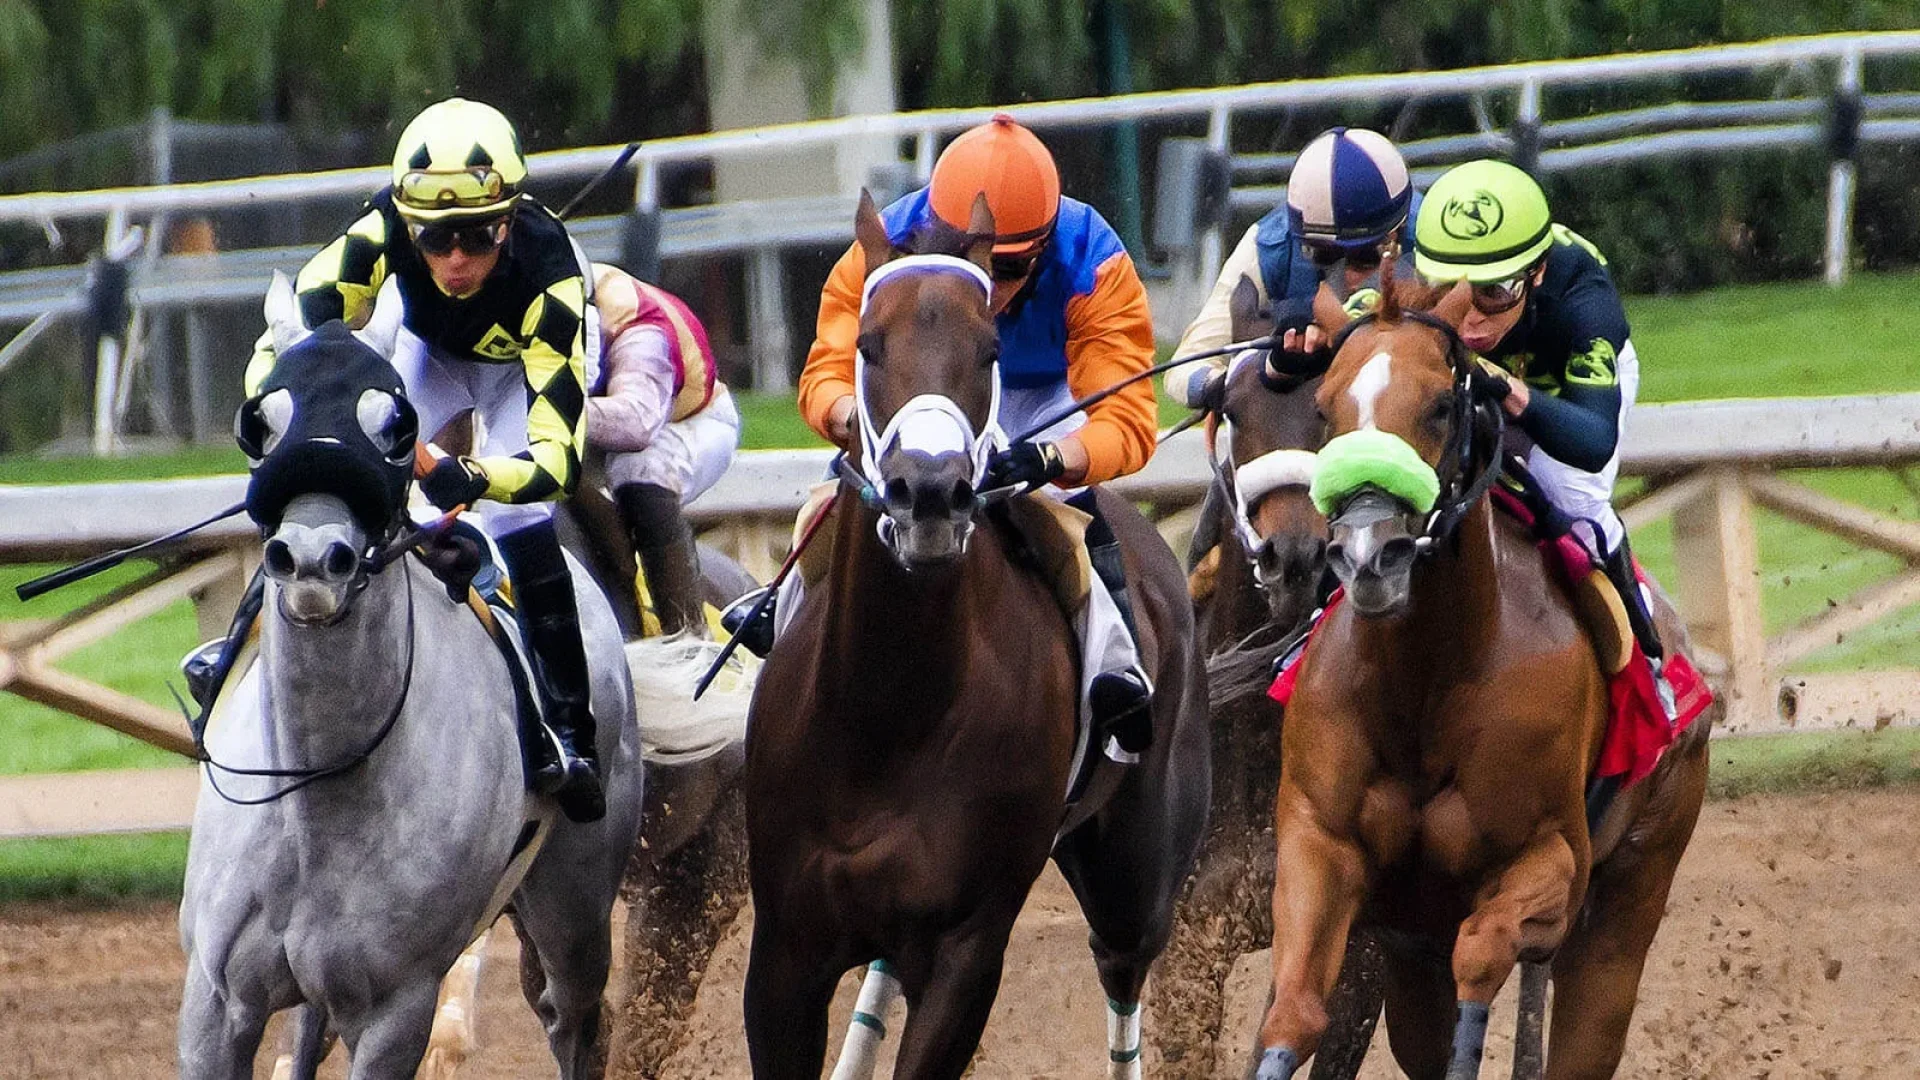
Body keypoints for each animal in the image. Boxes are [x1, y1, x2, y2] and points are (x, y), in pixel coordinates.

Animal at [181, 278, 645, 1076]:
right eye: (260, 421)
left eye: (395, 426)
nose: (312, 560)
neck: (318, 791)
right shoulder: (214, 1000)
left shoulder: (396, 1006)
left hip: (575, 903)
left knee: (574, 1019)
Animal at [741, 195, 1205, 1076]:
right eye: (866, 342)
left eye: (989, 350)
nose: (928, 493)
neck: (889, 710)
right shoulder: (785, 948)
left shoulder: (966, 949)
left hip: (1134, 865)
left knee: (1123, 959)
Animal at [1251, 278, 1720, 1076]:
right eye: (1325, 409)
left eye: (1442, 404)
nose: (1368, 554)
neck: (1426, 678)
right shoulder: (1321, 845)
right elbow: (1294, 1009)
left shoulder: (1550, 864)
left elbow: (1483, 950)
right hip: (1413, 955)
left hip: (1630, 895)